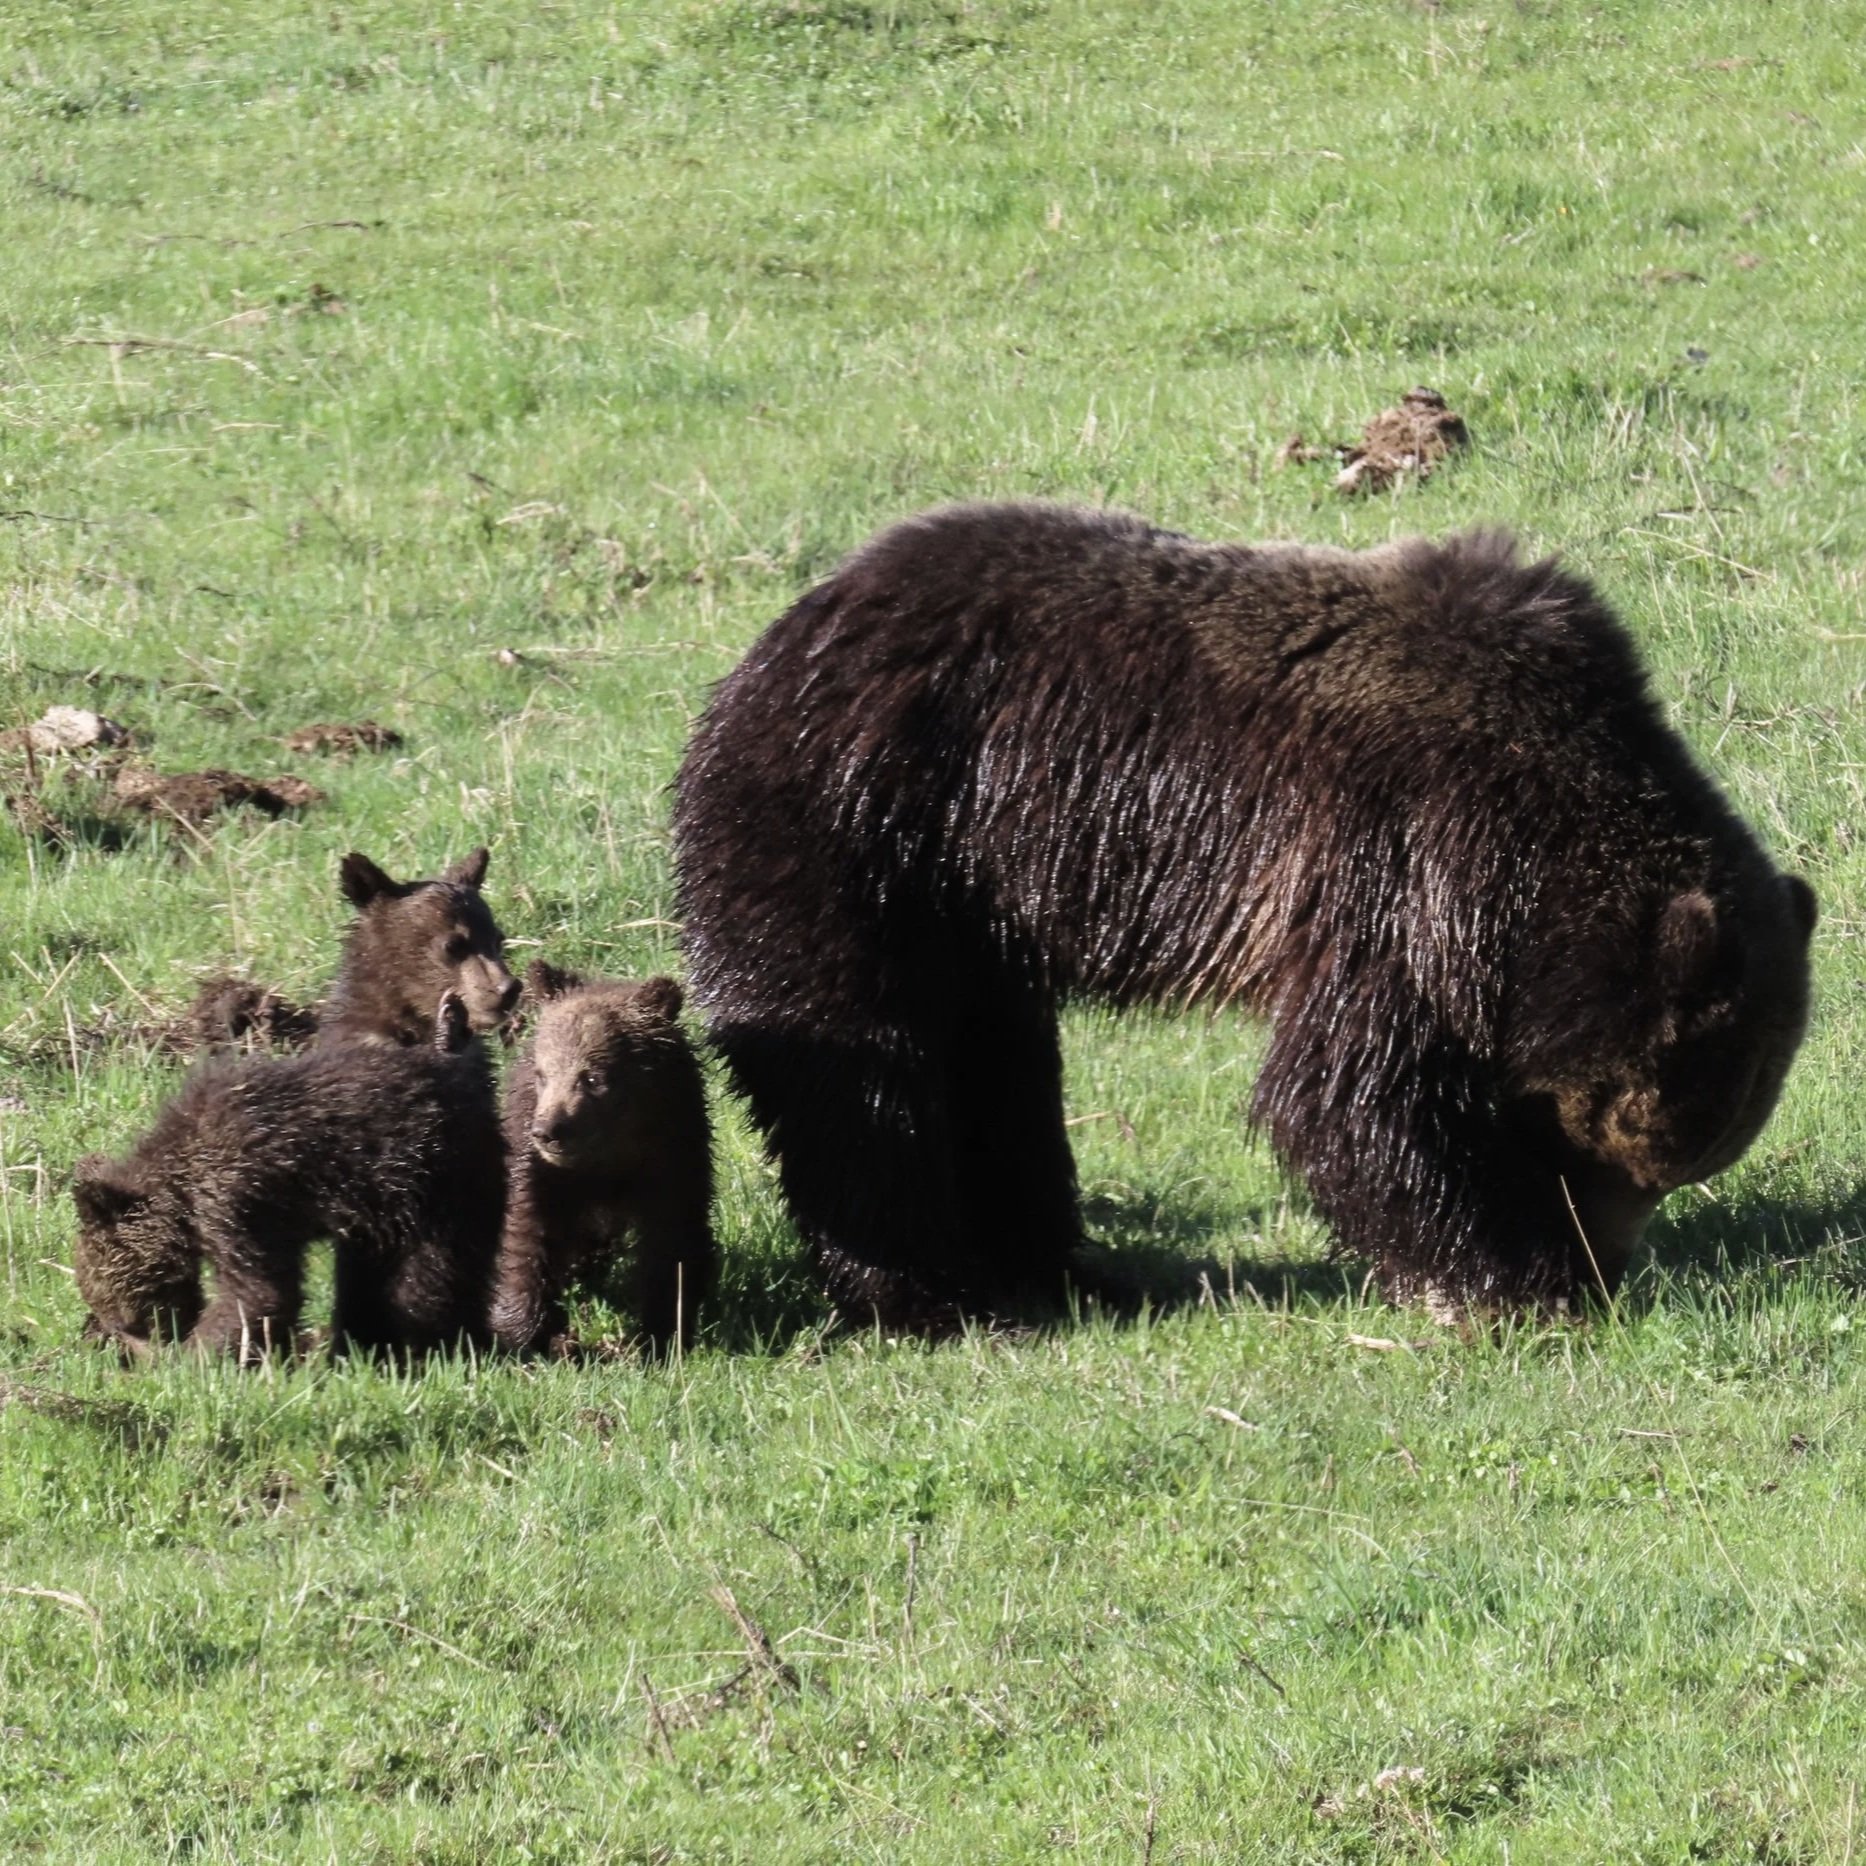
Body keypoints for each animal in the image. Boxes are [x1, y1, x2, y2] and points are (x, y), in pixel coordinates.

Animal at [72, 991, 504, 1360]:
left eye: (128, 1318)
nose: (135, 1347)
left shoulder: (236, 1200)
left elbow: (258, 1292)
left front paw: (195, 1359)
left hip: (436, 1180)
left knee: (425, 1275)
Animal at [488, 962, 717, 1357]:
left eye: (592, 1078)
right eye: (542, 1074)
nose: (548, 1130)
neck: (607, 1156)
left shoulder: (672, 1155)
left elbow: (671, 1242)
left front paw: (660, 1334)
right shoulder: (538, 1169)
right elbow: (525, 1233)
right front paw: (527, 1334)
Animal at [671, 502, 1817, 1328]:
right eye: (1628, 1151)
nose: (1607, 1260)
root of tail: (780, 634)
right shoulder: (1395, 866)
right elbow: (1350, 1098)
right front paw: (1507, 1281)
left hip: (972, 901)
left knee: (997, 1064)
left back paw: (1055, 1266)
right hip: (861, 824)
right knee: (856, 1063)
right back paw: (922, 1291)